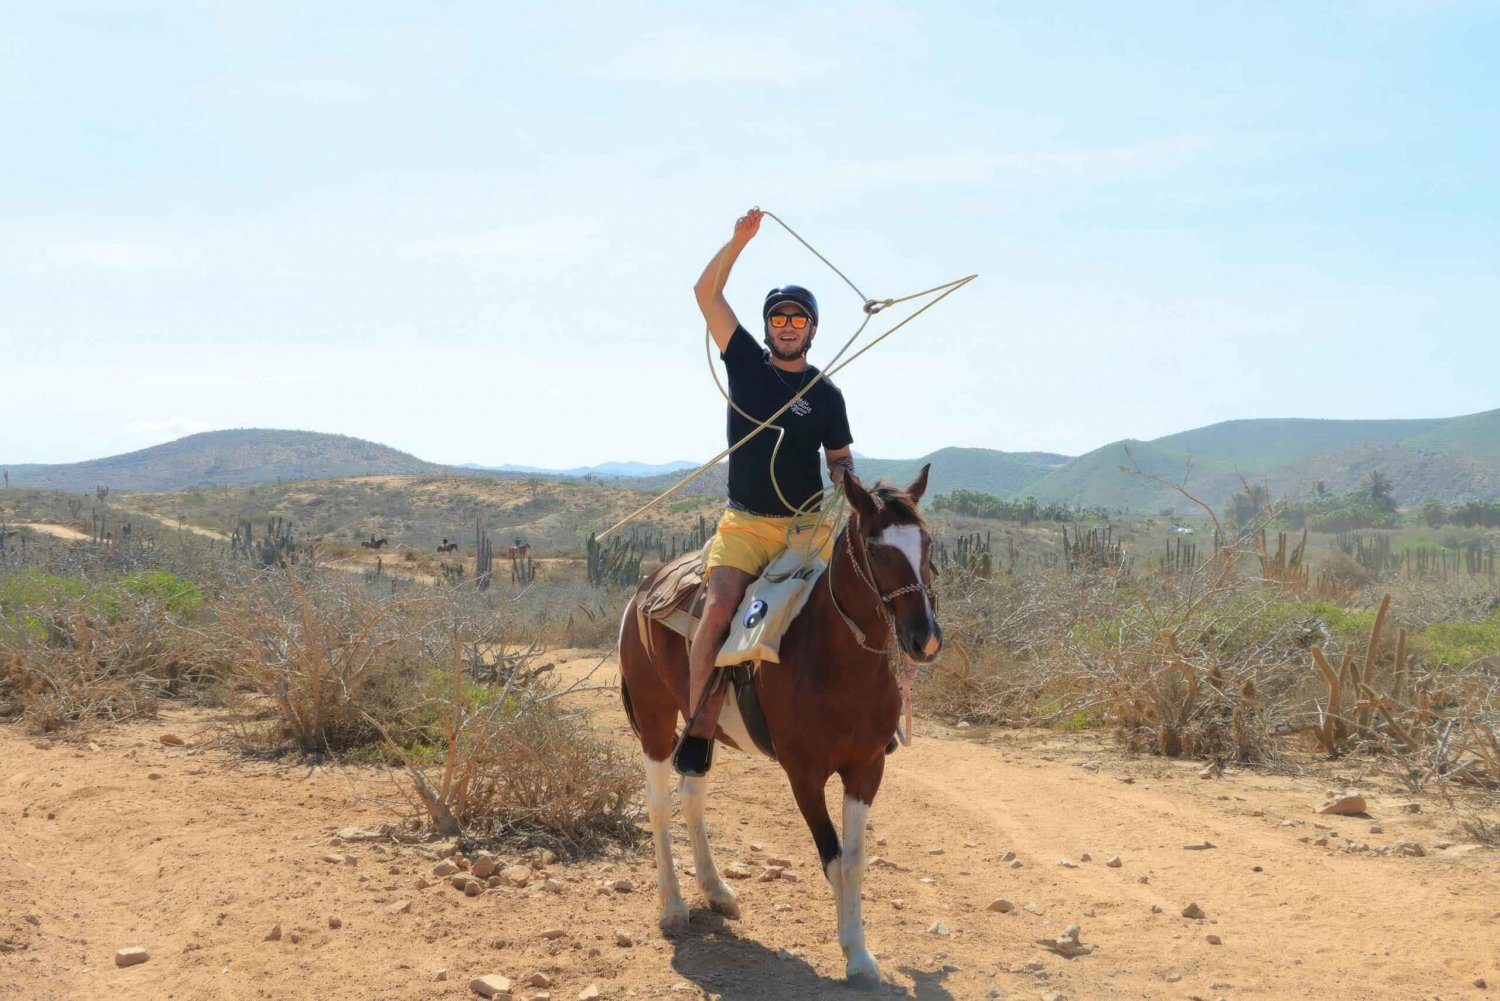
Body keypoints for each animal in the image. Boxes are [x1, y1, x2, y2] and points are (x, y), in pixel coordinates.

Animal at [612, 465, 936, 990]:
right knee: (659, 804)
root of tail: (644, 588)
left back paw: (715, 888)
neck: (836, 658)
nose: (924, 637)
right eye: (876, 549)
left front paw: (862, 955)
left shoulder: (866, 770)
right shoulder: (804, 775)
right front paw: (853, 953)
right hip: (654, 717)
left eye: (926, 544)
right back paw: (674, 905)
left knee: (691, 794)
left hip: (700, 731)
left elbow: (854, 861)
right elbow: (832, 860)